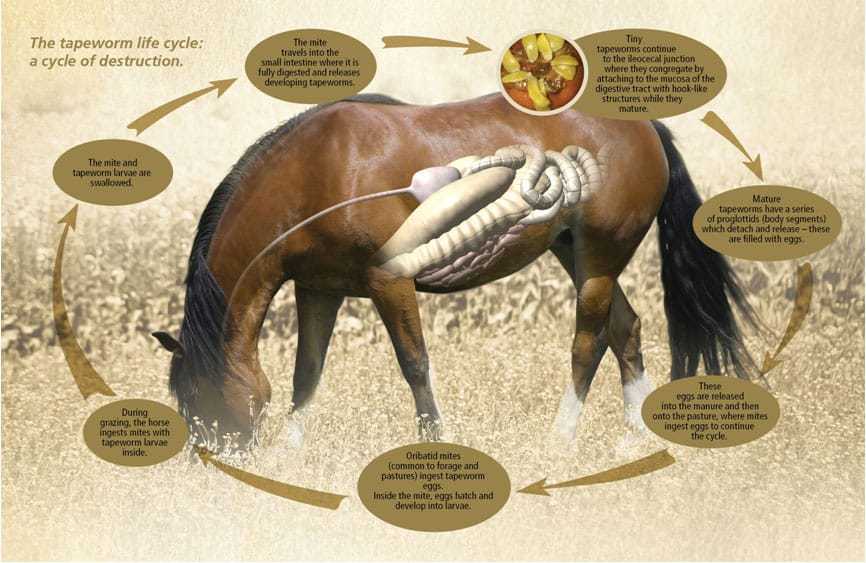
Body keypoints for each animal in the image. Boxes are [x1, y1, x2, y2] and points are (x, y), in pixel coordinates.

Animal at [152, 92, 757, 447]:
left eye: (204, 399)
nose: (216, 461)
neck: (316, 171)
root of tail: (644, 125)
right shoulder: (318, 289)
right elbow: (308, 372)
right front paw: (291, 451)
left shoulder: (389, 282)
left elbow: (415, 365)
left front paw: (434, 445)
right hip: (573, 253)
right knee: (626, 329)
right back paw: (634, 439)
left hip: (599, 259)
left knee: (589, 343)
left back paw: (560, 439)